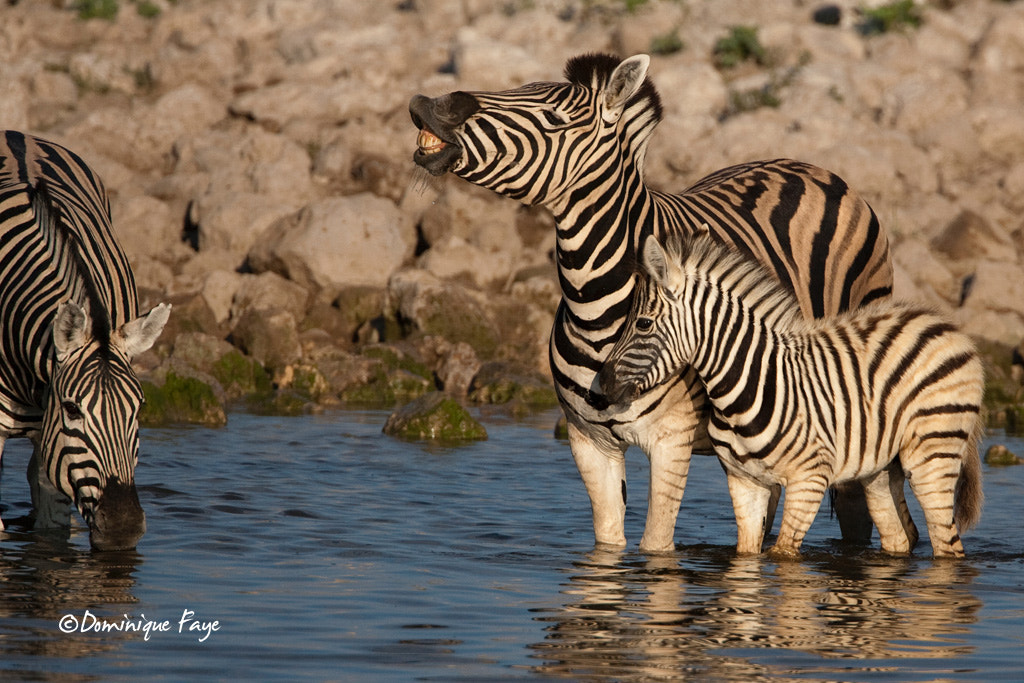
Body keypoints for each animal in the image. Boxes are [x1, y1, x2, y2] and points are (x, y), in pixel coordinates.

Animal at [407, 53, 905, 557]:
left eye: (555, 118)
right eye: (519, 86)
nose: (429, 104)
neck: (596, 308)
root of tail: (808, 166)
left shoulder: (672, 442)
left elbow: (655, 546)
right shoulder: (588, 442)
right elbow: (608, 544)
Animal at [598, 232, 983, 557]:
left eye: (643, 323)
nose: (600, 384)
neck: (746, 389)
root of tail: (947, 326)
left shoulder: (809, 479)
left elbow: (783, 556)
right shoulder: (744, 481)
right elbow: (746, 555)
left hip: (933, 454)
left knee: (949, 548)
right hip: (880, 470)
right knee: (899, 537)